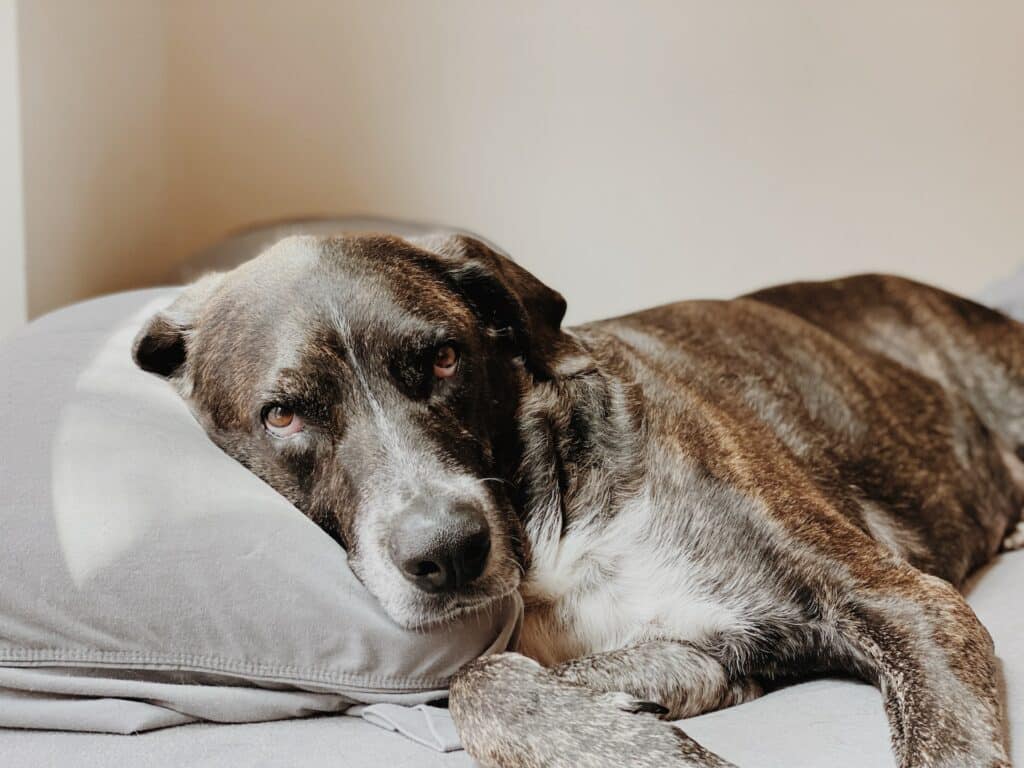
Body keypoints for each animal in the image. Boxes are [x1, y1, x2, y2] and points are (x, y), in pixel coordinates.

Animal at [136, 234, 1024, 768]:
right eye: (282, 414)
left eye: (446, 358)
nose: (448, 551)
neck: (553, 525)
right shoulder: (712, 645)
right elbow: (479, 680)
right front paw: (644, 735)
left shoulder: (902, 602)